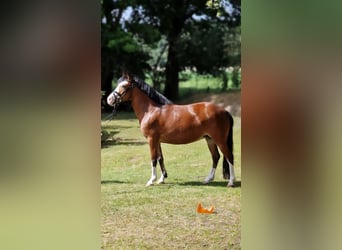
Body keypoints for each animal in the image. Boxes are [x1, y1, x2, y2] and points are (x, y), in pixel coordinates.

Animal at [107, 74, 235, 188]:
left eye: (124, 86)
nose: (109, 99)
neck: (151, 110)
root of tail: (224, 111)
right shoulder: (157, 141)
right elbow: (160, 158)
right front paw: (161, 179)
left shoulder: (151, 139)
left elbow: (153, 159)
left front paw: (151, 180)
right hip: (210, 139)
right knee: (216, 157)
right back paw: (208, 179)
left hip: (219, 140)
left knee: (229, 156)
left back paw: (231, 182)